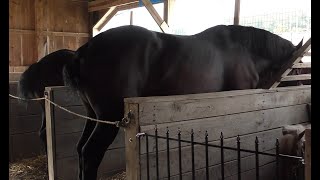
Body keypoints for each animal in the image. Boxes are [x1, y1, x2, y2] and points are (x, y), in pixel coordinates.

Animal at [62, 24, 302, 179]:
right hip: (108, 118)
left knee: (80, 149)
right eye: (298, 67)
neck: (245, 51)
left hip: (94, 116)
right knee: (90, 154)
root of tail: (84, 51)